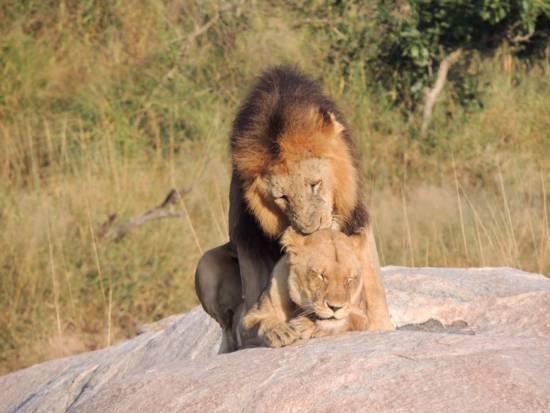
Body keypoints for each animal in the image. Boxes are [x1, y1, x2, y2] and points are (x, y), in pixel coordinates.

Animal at [242, 225, 370, 348]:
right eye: (319, 275)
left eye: (350, 279)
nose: (335, 307)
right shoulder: (247, 321)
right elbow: (261, 323)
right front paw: (279, 331)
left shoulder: (363, 317)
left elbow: (350, 319)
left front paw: (303, 325)